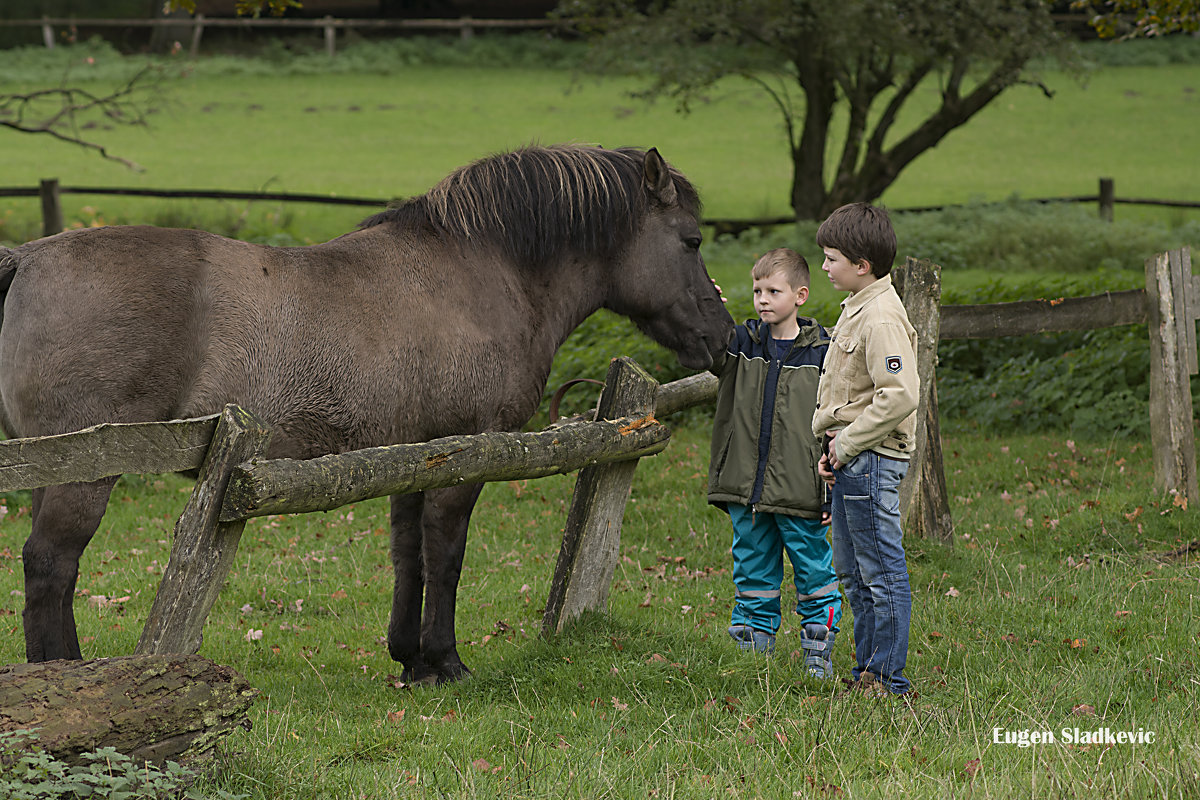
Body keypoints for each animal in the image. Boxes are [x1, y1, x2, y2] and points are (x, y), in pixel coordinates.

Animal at [0, 143, 729, 681]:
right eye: (692, 241)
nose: (723, 338)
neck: (478, 274)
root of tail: (28, 258)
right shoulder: (468, 454)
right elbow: (446, 551)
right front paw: (445, 661)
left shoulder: (415, 456)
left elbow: (409, 553)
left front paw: (410, 658)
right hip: (86, 473)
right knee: (50, 565)